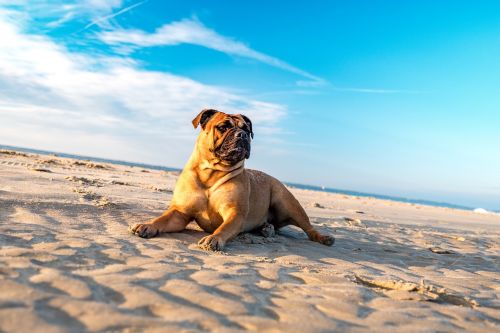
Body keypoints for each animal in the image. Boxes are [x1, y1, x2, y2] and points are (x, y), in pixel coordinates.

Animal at [129, 108, 334, 249]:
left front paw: (214, 238)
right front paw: (148, 225)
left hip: (287, 202)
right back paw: (266, 229)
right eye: (223, 127)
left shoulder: (234, 213)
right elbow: (162, 220)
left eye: (247, 130)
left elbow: (224, 228)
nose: (242, 135)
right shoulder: (180, 213)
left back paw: (322, 238)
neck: (211, 174)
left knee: (308, 228)